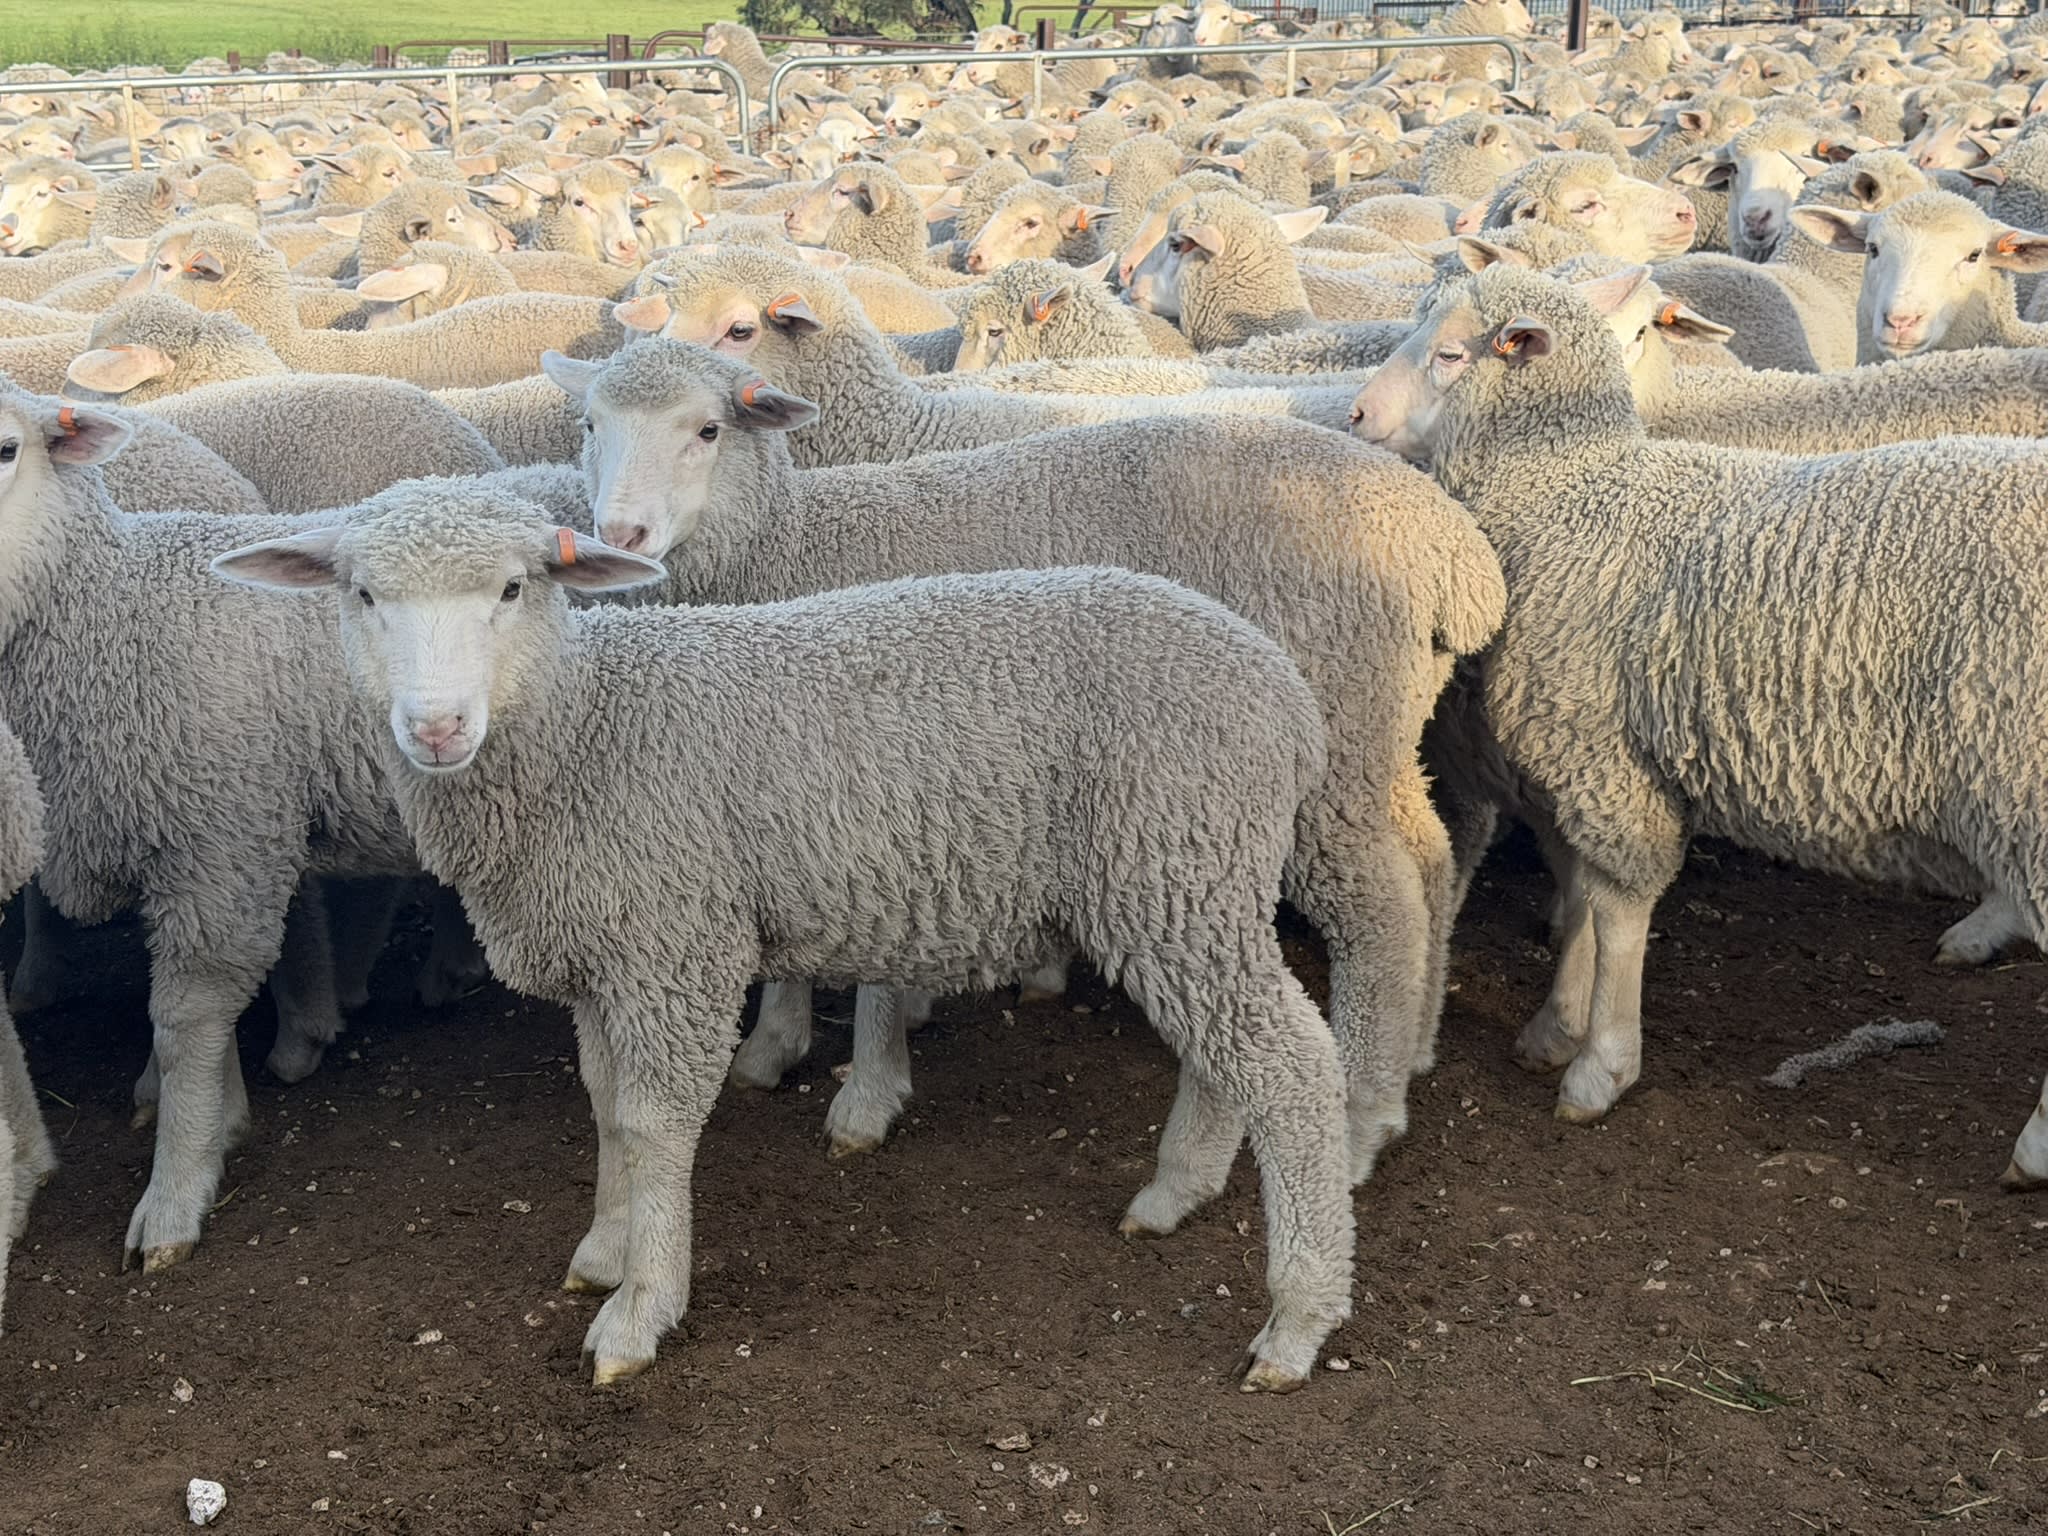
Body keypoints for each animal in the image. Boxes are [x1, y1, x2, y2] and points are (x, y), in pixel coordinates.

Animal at [0, 383, 429, 1271]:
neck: (116, 618)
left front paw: (174, 1194)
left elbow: (187, 1020)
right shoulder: (205, 845)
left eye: (7, 450)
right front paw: (220, 1122)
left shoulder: (220, 844)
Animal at [216, 488, 1358, 1393]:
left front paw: (640, 1305)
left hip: (1173, 859)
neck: (583, 730)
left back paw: (1296, 1319)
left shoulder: (674, 946)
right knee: (1232, 1052)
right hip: (1192, 884)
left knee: (1295, 1067)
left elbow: (654, 1125)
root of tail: (1286, 691)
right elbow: (604, 1107)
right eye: (363, 596)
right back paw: (1177, 1191)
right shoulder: (600, 954)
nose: (437, 727)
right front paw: (606, 1245)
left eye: (511, 589)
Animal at [546, 336, 1502, 1161]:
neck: (797, 540)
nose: (621, 535)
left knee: (1381, 907)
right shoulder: (782, 782)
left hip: (1335, 725)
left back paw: (1366, 1112)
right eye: (590, 425)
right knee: (1427, 856)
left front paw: (867, 1093)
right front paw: (776, 1041)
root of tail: (1452, 552)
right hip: (1379, 729)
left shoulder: (886, 787)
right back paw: (1412, 1053)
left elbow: (877, 972)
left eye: (708, 429)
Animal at [1349, 260, 2048, 1186]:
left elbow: (1617, 905)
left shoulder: (1602, 753)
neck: (1568, 492)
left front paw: (1599, 1066)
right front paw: (1557, 1024)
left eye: (1452, 354)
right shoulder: (1590, 758)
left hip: (2024, 778)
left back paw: (2034, 1145)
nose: (1355, 417)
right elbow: (1581, 890)